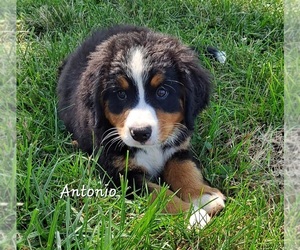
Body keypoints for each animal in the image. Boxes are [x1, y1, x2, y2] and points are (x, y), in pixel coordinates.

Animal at [56, 24, 225, 229]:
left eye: (162, 92)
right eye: (121, 95)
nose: (140, 133)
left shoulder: (178, 147)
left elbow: (185, 169)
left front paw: (203, 196)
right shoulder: (120, 176)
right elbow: (160, 194)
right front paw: (192, 216)